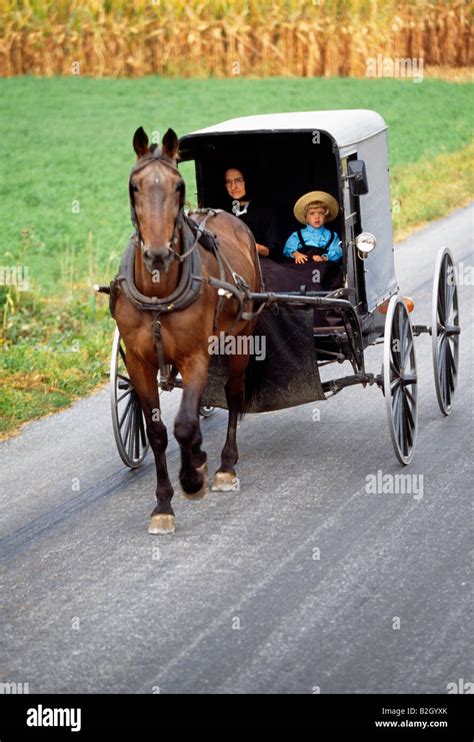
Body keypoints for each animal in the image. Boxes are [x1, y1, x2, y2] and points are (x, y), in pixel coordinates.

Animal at [114, 128, 262, 536]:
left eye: (179, 186)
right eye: (134, 185)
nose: (157, 254)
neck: (158, 293)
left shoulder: (196, 355)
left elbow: (183, 424)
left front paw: (193, 479)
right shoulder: (139, 363)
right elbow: (158, 432)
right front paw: (163, 504)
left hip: (241, 336)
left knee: (233, 393)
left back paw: (225, 465)